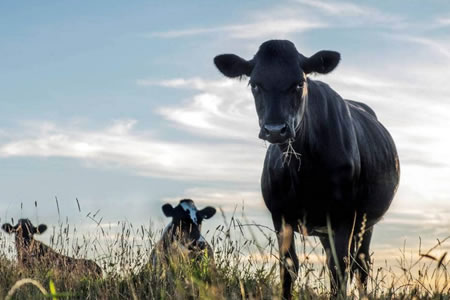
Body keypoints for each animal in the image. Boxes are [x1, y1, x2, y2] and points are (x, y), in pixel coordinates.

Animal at [213, 39, 400, 298]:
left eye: (299, 83)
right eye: (254, 84)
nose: (275, 129)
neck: (303, 173)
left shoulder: (344, 216)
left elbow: (339, 269)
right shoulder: (280, 216)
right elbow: (289, 266)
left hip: (365, 223)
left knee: (360, 265)